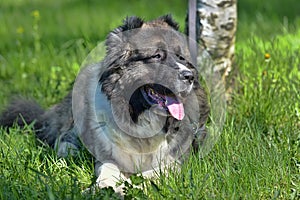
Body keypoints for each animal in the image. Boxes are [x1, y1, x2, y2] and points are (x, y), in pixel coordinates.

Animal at [0, 14, 209, 191]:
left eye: (182, 58)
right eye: (157, 56)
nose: (189, 76)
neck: (140, 116)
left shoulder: (172, 163)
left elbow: (147, 176)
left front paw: (126, 188)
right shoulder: (109, 154)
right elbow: (108, 168)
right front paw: (103, 187)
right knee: (63, 137)